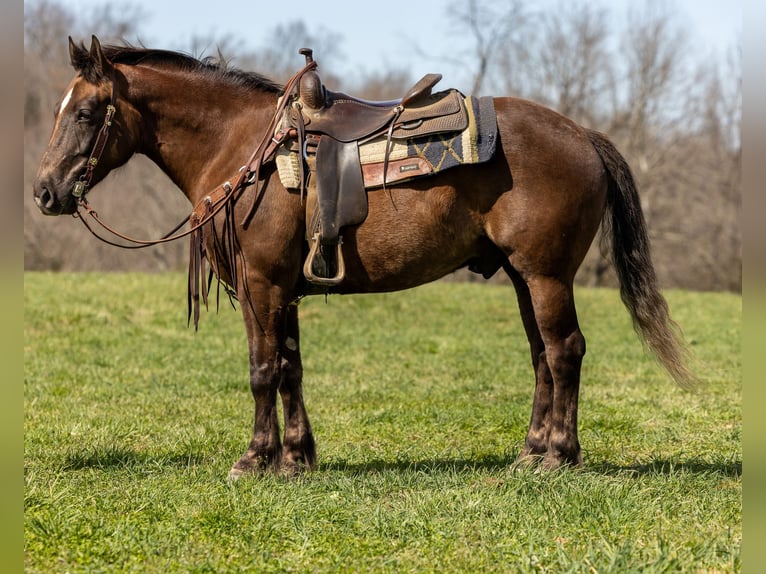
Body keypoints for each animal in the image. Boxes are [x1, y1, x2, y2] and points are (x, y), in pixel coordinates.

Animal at [33, 37, 696, 482]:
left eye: (86, 113)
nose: (45, 192)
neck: (240, 147)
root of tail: (584, 136)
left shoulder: (261, 284)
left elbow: (262, 370)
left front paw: (254, 459)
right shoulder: (283, 289)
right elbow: (291, 368)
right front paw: (297, 457)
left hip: (547, 275)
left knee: (564, 352)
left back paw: (560, 456)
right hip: (521, 278)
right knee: (541, 356)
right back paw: (531, 451)